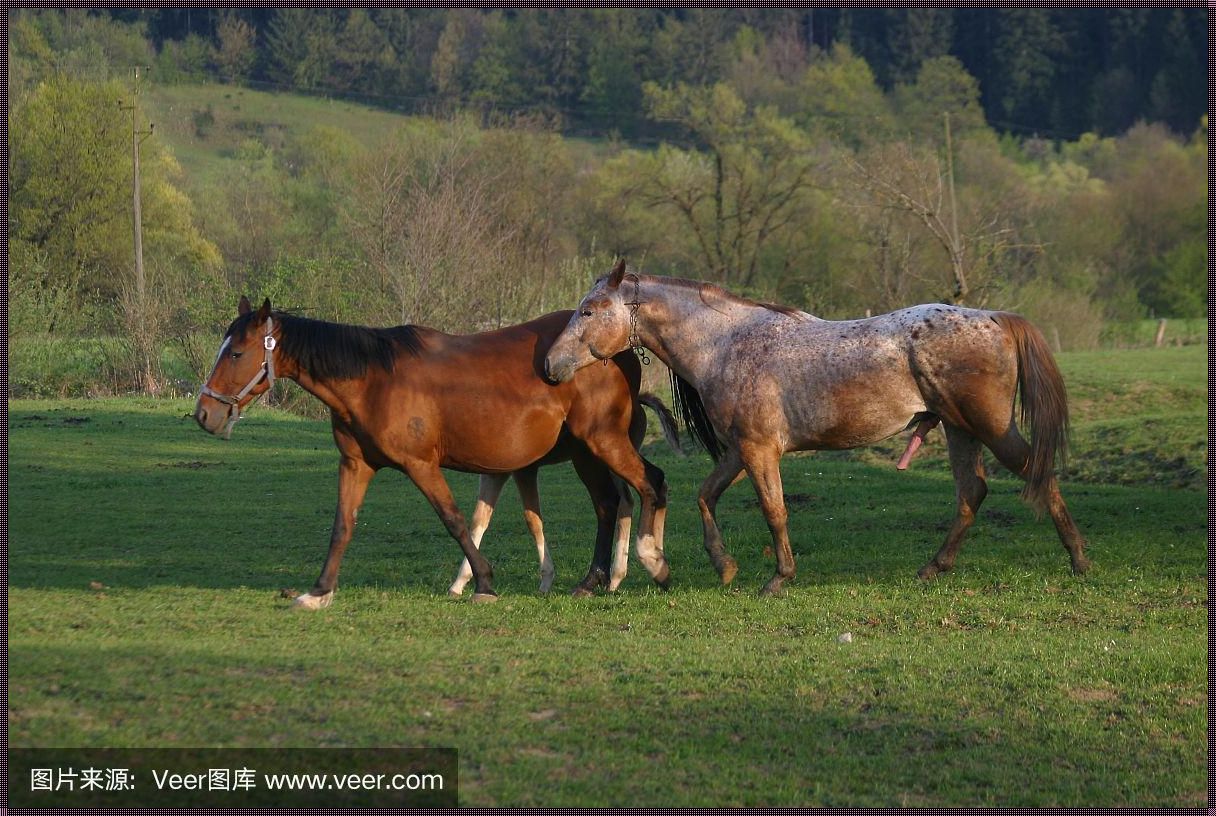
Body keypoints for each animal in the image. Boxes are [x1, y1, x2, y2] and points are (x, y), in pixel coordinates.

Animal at [196, 297, 676, 605]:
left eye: (236, 352)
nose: (204, 414)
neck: (375, 379)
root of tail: (619, 351)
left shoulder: (421, 465)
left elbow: (456, 520)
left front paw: (483, 583)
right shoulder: (356, 464)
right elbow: (342, 526)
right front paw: (318, 591)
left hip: (603, 444)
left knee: (648, 485)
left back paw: (653, 566)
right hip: (586, 454)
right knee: (609, 503)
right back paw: (594, 581)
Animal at [547, 261, 1089, 593]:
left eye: (589, 311)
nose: (551, 366)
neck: (727, 343)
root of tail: (996, 318)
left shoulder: (760, 451)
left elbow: (775, 511)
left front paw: (779, 577)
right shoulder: (741, 451)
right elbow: (706, 496)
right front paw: (724, 566)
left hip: (991, 429)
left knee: (1038, 474)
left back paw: (1079, 560)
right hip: (960, 431)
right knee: (971, 493)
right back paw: (934, 567)